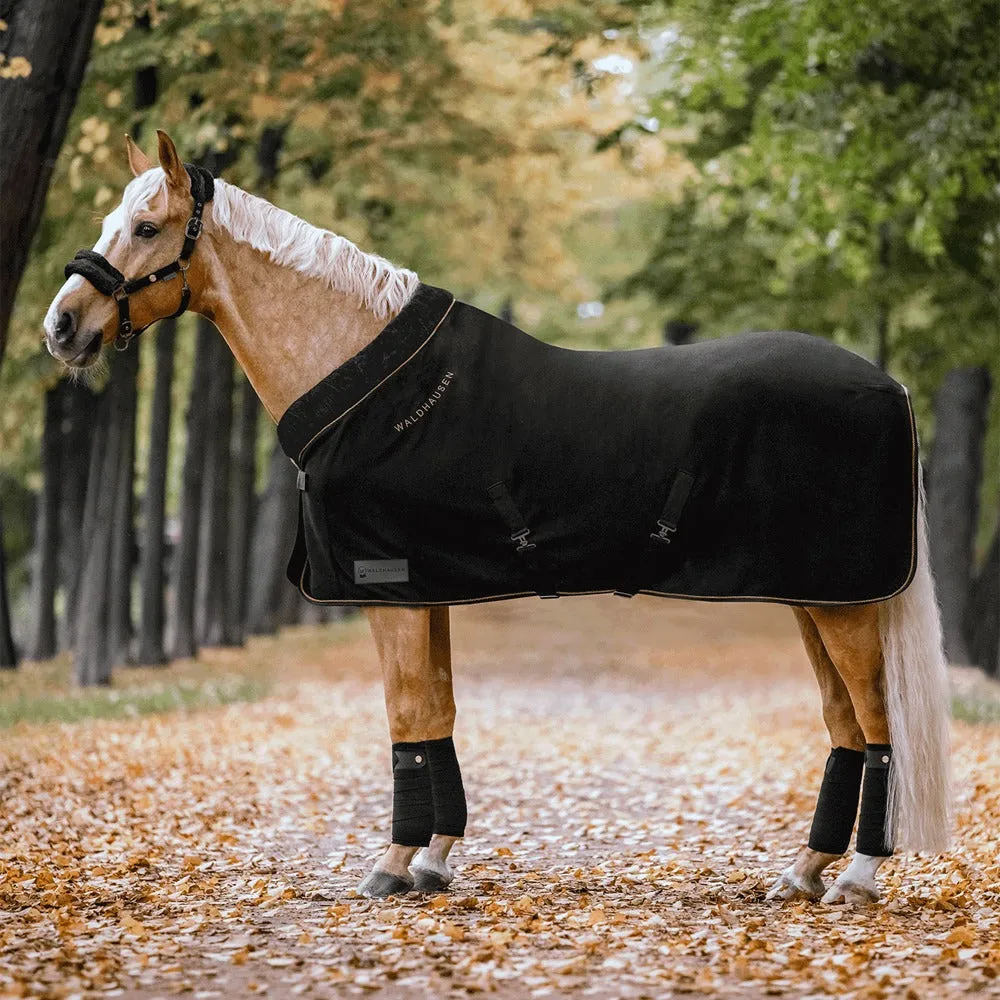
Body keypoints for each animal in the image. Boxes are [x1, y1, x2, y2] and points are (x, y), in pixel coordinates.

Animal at [44, 131, 951, 904]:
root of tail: (891, 385)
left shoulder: (388, 591)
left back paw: (858, 876)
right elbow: (438, 716)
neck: (367, 380)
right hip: (816, 597)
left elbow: (408, 720)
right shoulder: (426, 592)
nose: (62, 327)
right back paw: (803, 872)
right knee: (844, 726)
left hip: (842, 603)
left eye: (146, 226)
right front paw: (436, 860)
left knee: (878, 727)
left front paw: (393, 864)